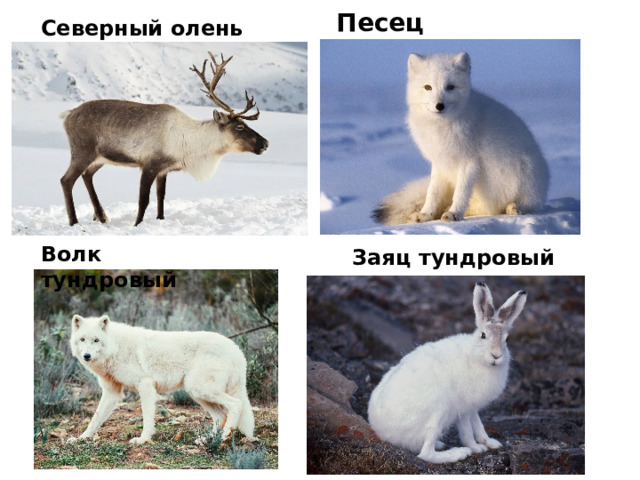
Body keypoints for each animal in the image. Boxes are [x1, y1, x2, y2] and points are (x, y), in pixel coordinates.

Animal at [59, 52, 269, 227]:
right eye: (239, 126)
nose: (265, 143)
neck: (190, 144)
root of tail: (68, 115)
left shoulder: (164, 169)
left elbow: (161, 197)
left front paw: (160, 219)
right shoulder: (149, 165)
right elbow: (143, 201)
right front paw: (137, 225)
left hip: (99, 157)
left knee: (87, 175)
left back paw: (102, 216)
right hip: (82, 151)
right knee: (66, 180)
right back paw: (74, 221)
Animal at [68, 315, 255, 444]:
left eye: (96, 340)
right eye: (82, 339)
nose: (87, 356)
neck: (116, 347)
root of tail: (237, 350)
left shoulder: (145, 385)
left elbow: (147, 417)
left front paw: (143, 439)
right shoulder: (112, 393)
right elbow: (95, 419)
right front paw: (81, 438)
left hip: (200, 389)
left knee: (236, 405)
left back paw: (224, 437)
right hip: (198, 393)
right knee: (220, 416)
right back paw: (207, 440)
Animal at [367, 282, 527, 464]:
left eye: (506, 339)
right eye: (483, 335)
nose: (496, 355)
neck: (476, 357)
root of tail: (384, 432)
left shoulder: (472, 407)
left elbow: (478, 424)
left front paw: (491, 443)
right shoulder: (463, 408)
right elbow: (467, 430)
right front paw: (475, 447)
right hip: (438, 410)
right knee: (426, 454)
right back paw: (457, 453)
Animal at [373, 52, 549, 225]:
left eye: (450, 87)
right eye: (428, 87)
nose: (439, 106)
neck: (442, 127)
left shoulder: (469, 162)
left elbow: (461, 192)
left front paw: (454, 214)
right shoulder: (440, 163)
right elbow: (432, 193)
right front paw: (425, 215)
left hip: (527, 177)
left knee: (523, 206)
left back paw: (514, 207)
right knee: (485, 209)